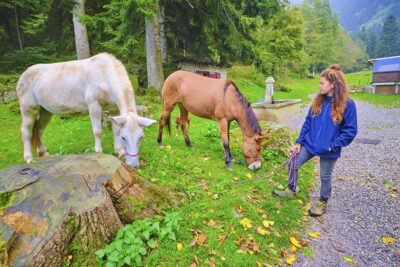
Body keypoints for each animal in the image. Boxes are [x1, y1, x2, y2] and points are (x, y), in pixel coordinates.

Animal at [16, 53, 156, 169]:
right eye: (124, 137)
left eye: (141, 137)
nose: (133, 165)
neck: (104, 76)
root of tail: (22, 76)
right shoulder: (94, 106)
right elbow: (98, 131)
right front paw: (99, 151)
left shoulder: (114, 110)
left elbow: (115, 130)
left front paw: (119, 151)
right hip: (29, 110)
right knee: (26, 132)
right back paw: (29, 158)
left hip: (46, 111)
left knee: (39, 130)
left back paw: (43, 153)